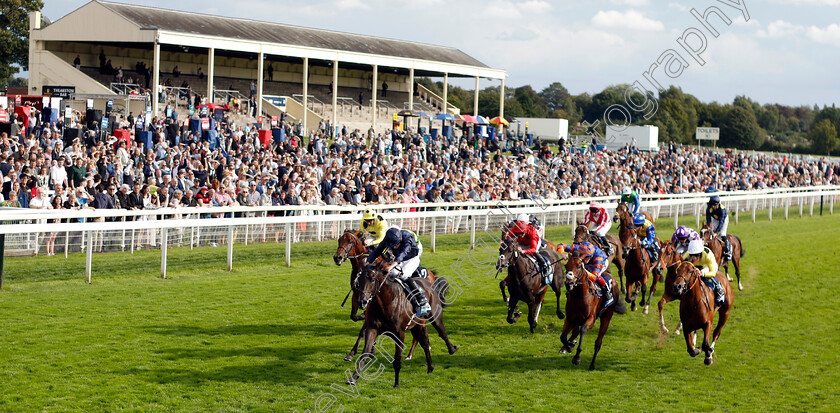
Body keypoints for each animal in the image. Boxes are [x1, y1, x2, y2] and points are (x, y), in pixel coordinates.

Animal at [348, 260, 460, 388]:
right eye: (358, 280)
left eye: (372, 279)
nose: (362, 302)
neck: (385, 303)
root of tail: (429, 282)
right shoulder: (372, 328)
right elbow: (364, 353)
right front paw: (353, 378)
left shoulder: (399, 333)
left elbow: (397, 360)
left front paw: (396, 383)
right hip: (416, 325)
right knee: (424, 343)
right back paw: (430, 367)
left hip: (434, 317)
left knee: (442, 333)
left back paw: (452, 349)